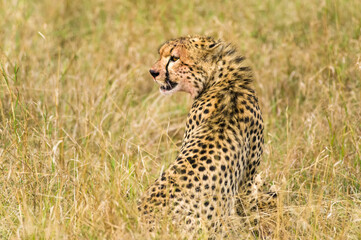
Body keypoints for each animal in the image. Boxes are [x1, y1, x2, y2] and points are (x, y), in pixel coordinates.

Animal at [139, 35, 274, 236]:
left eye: (174, 58)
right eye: (161, 54)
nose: (153, 72)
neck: (224, 81)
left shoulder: (247, 180)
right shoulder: (247, 180)